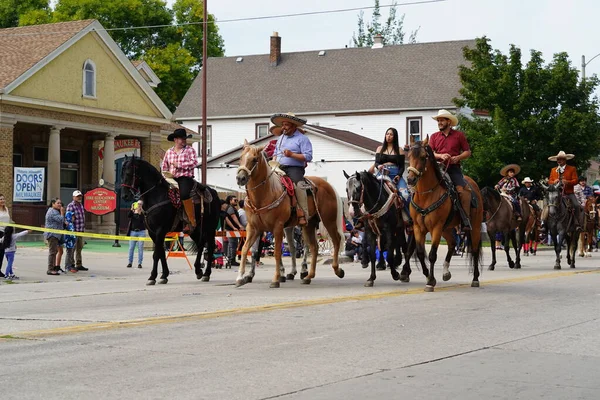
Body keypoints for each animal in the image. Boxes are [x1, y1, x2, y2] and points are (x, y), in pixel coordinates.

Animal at [119, 155, 220, 284]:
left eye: (129, 173)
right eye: (121, 174)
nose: (125, 196)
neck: (157, 196)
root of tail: (213, 192)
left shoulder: (160, 230)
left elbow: (156, 254)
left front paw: (152, 277)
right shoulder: (152, 232)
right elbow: (161, 253)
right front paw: (164, 275)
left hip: (210, 228)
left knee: (210, 246)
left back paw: (206, 274)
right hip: (194, 229)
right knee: (201, 244)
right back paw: (198, 271)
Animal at [236, 141, 344, 288]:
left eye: (254, 159)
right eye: (240, 158)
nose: (240, 178)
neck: (266, 193)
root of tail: (328, 185)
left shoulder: (277, 227)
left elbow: (277, 252)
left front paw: (276, 279)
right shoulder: (253, 228)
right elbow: (247, 249)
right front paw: (242, 277)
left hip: (329, 221)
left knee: (334, 241)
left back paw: (336, 270)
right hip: (309, 224)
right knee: (313, 247)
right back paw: (308, 276)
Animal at [406, 139, 486, 292]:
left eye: (424, 157)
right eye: (409, 156)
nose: (410, 179)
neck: (426, 195)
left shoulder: (436, 228)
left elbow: (432, 255)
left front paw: (430, 282)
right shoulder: (418, 228)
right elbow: (420, 253)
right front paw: (428, 277)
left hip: (475, 226)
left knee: (474, 250)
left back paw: (475, 279)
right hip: (447, 228)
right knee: (452, 244)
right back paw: (446, 272)